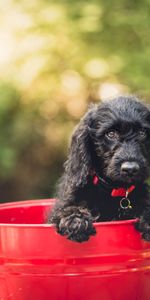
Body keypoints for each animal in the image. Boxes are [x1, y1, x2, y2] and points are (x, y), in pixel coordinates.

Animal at [49, 96, 150, 241]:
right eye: (111, 134)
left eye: (142, 133)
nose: (130, 169)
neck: (115, 190)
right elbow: (69, 208)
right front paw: (75, 221)